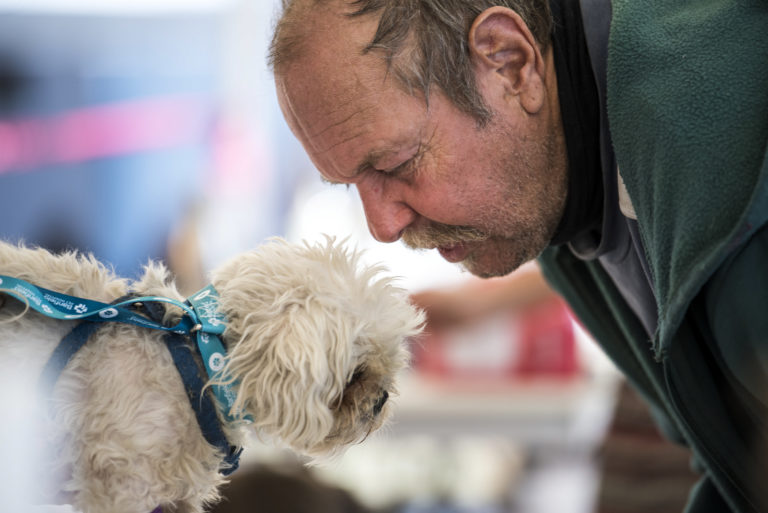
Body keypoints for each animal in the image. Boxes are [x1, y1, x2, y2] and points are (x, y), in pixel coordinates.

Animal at [0, 239, 424, 512]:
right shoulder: (121, 487)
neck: (202, 360)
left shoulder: (176, 499)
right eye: (357, 373)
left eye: (389, 366)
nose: (382, 399)